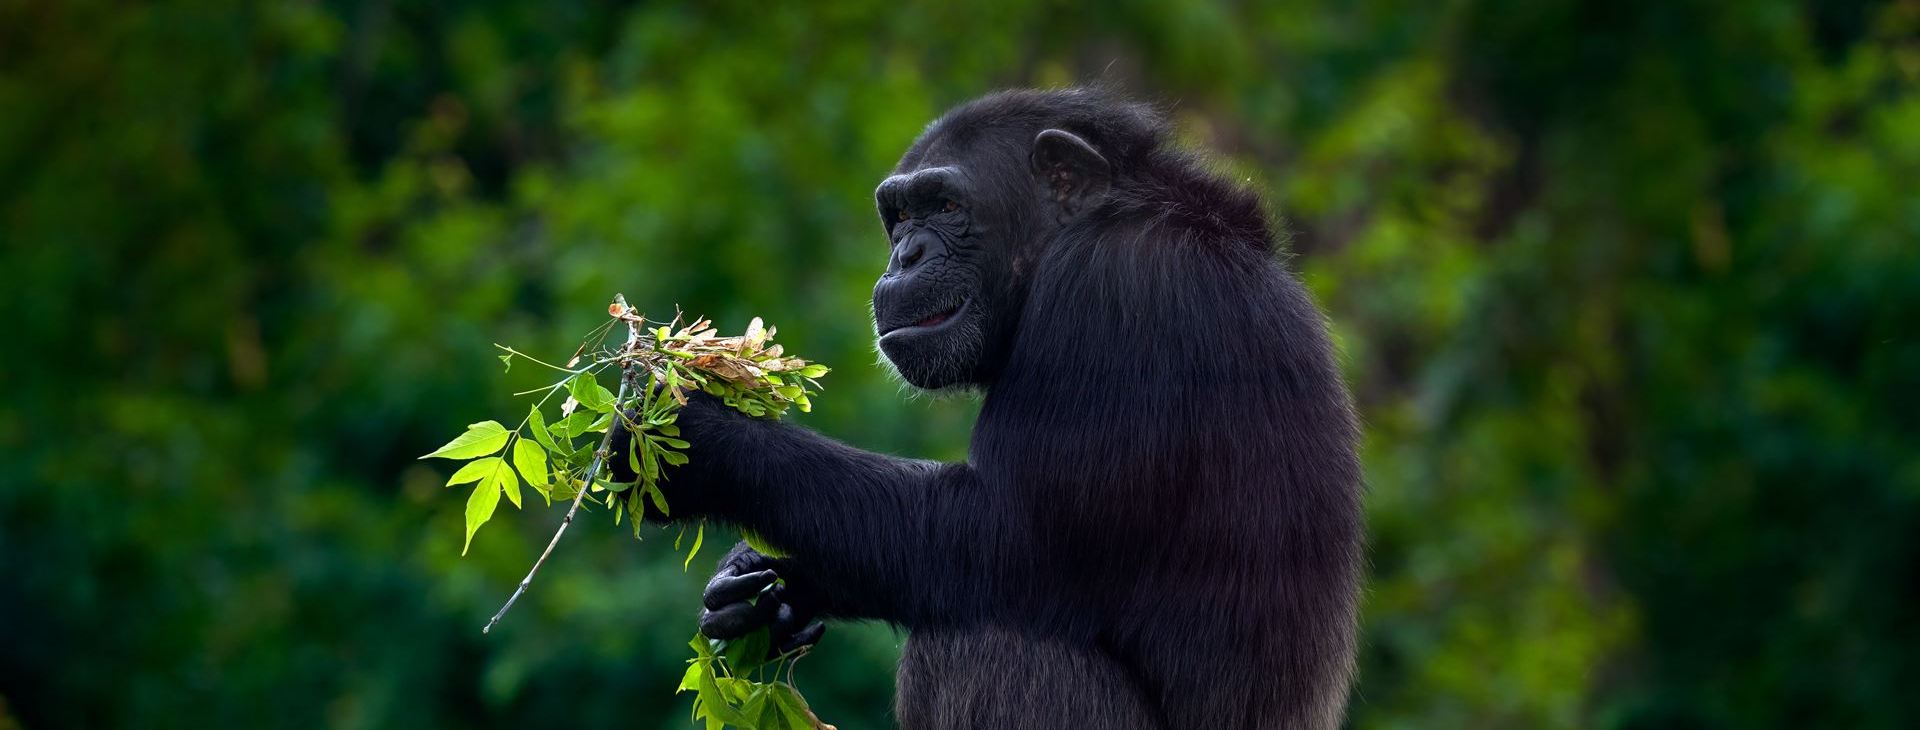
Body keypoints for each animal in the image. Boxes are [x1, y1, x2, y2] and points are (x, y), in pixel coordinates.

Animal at [614, 86, 1367, 730]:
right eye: (900, 216)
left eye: (946, 207)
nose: (905, 256)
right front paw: (766, 590)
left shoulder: (1111, 292)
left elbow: (1006, 535)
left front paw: (699, 440)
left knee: (982, 641)